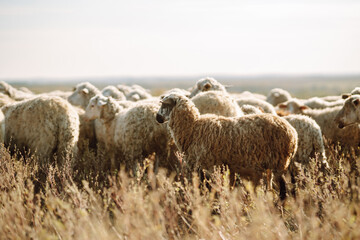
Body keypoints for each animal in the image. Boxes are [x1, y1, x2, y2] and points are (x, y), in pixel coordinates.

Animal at [155, 93, 298, 200]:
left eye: (165, 104)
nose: (157, 118)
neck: (193, 128)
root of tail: (293, 133)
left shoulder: (208, 165)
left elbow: (207, 189)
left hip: (279, 162)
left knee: (283, 190)